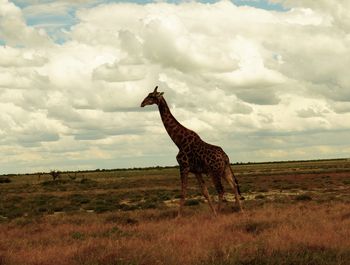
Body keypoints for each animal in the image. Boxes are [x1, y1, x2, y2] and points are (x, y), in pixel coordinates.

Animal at [140, 86, 243, 214]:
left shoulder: (184, 167)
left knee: (221, 190)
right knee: (233, 185)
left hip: (215, 172)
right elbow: (205, 192)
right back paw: (240, 210)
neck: (178, 142)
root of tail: (225, 157)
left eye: (152, 96)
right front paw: (213, 213)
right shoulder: (196, 171)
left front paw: (178, 216)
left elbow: (183, 193)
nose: (142, 103)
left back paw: (220, 212)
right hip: (225, 170)